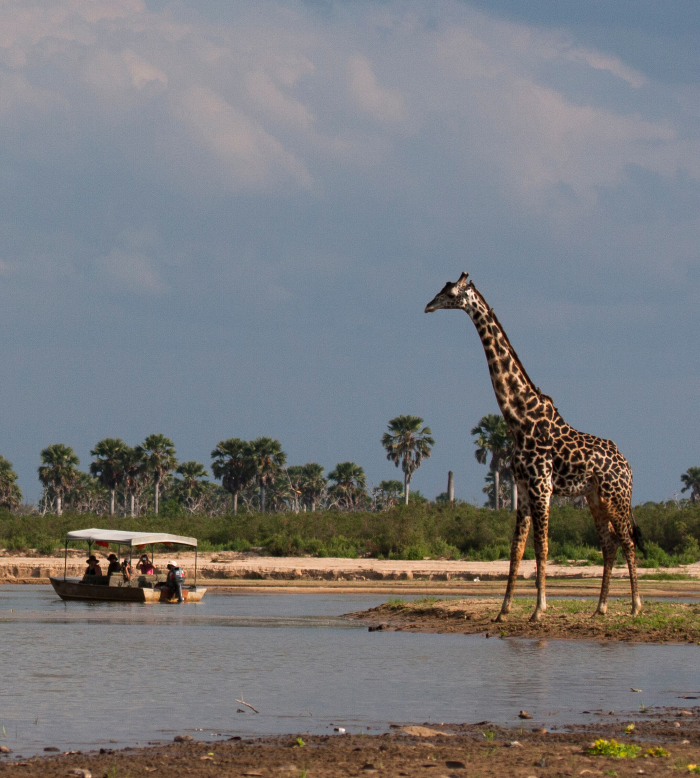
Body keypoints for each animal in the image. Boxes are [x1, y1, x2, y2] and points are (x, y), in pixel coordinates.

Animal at [424, 272, 644, 620]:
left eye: (450, 293)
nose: (428, 306)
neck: (519, 419)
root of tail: (628, 466)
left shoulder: (542, 486)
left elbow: (542, 546)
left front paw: (539, 609)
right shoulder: (524, 487)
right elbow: (516, 548)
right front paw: (504, 610)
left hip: (616, 496)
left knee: (627, 540)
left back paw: (636, 606)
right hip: (594, 497)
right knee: (608, 543)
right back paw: (600, 607)